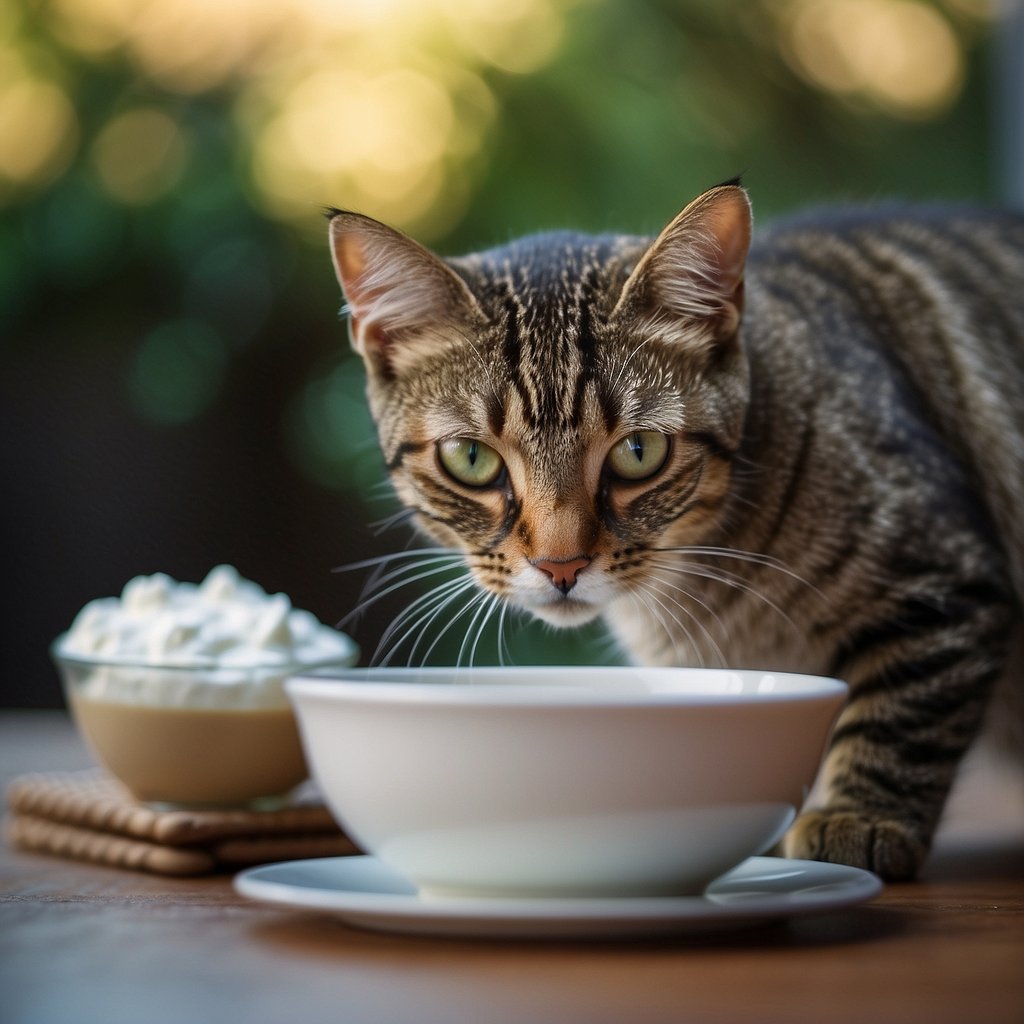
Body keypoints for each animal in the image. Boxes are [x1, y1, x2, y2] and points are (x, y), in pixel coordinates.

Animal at [325, 184, 1024, 880]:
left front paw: (861, 819)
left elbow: (902, 715)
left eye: (639, 451)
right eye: (471, 458)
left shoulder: (945, 578)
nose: (561, 564)